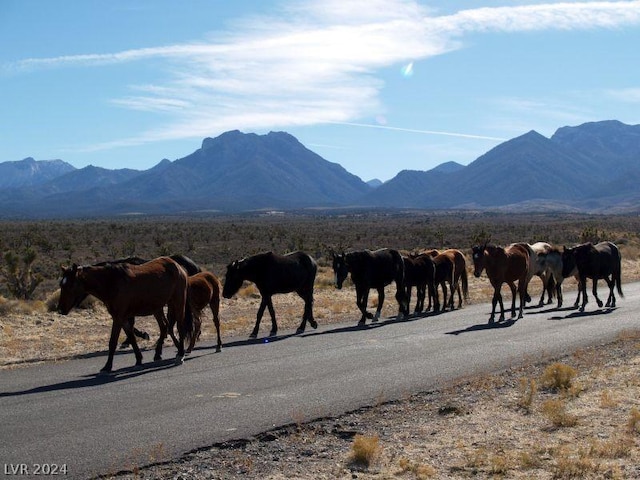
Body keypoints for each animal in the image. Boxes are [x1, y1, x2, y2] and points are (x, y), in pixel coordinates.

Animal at [56, 256, 191, 374]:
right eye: (61, 285)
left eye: (70, 285)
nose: (60, 309)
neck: (111, 282)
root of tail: (178, 266)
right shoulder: (123, 318)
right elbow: (131, 337)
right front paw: (138, 359)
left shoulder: (118, 317)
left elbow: (113, 342)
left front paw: (107, 366)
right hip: (157, 308)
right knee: (165, 327)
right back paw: (162, 353)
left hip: (177, 302)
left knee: (179, 327)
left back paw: (180, 354)